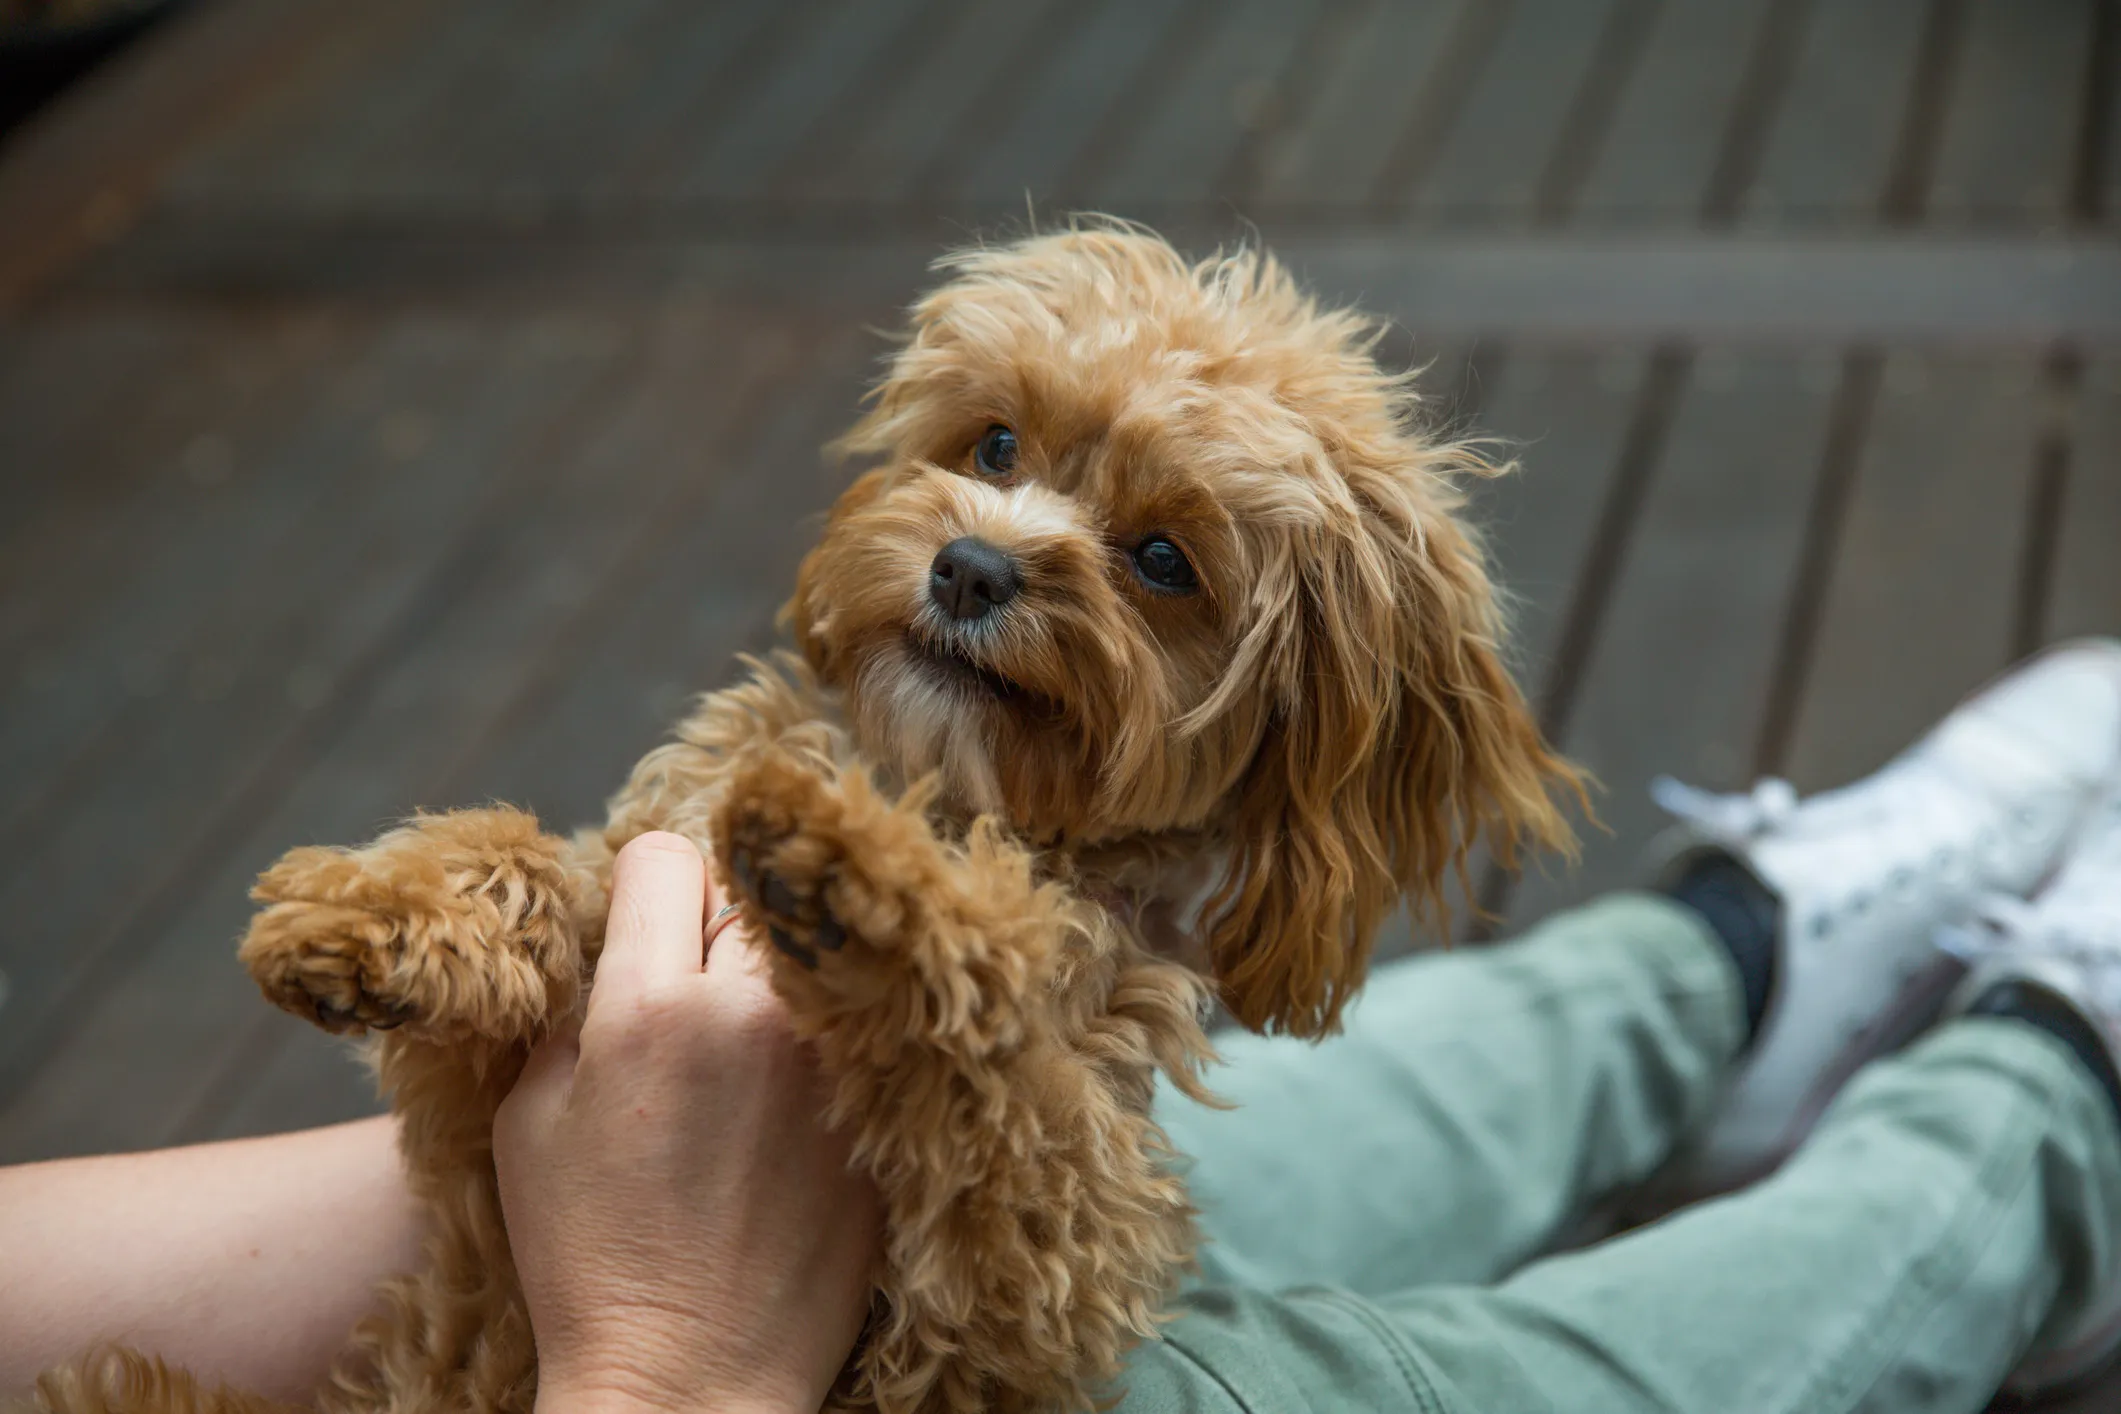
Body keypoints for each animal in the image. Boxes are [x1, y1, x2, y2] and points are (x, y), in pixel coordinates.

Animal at [41, 226, 1586, 1414]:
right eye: (997, 442)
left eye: (1164, 560)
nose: (970, 564)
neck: (949, 785)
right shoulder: (487, 1128)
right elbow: (548, 868)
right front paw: (370, 913)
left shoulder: (1026, 1291)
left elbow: (1007, 1089)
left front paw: (859, 872)